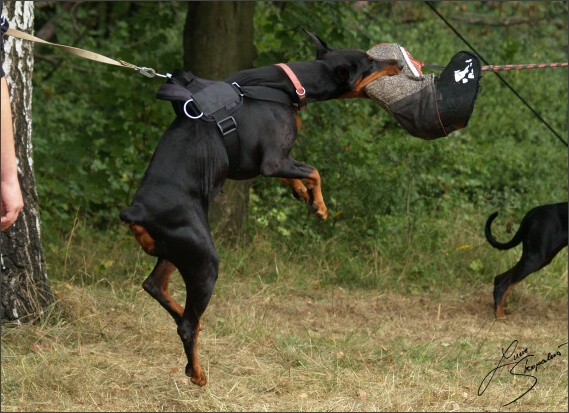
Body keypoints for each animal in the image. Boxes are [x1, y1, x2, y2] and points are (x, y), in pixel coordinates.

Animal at [120, 29, 400, 386]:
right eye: (371, 62)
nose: (397, 63)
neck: (289, 85)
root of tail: (136, 211)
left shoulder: (260, 162)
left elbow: (294, 174)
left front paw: (300, 192)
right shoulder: (273, 159)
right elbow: (313, 170)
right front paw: (319, 205)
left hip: (179, 251)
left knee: (156, 287)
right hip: (203, 257)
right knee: (186, 325)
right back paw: (197, 373)